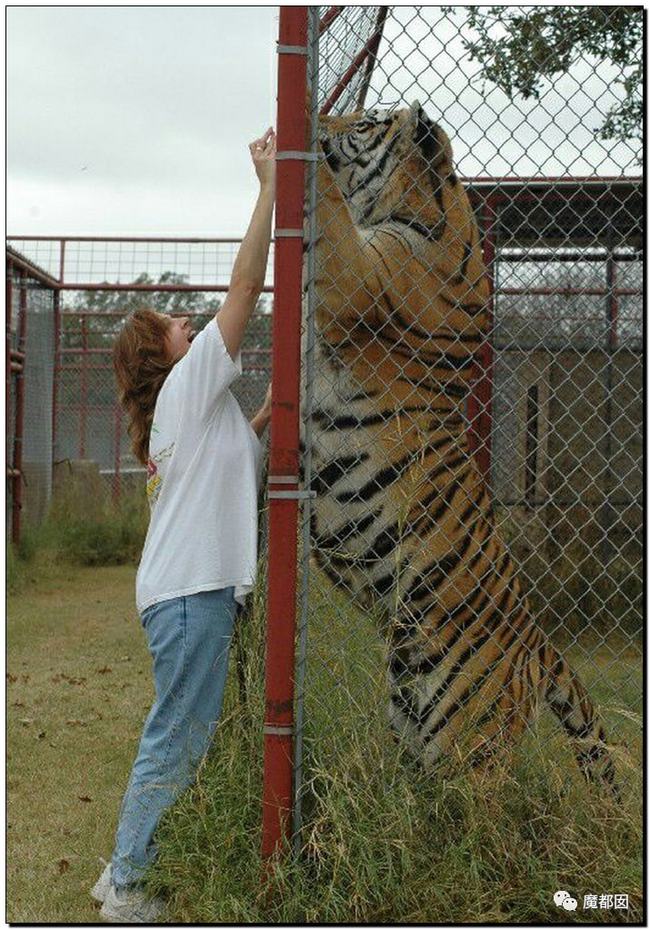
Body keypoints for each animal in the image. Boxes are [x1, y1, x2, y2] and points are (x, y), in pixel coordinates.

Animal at [302, 99, 616, 796]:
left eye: (362, 122)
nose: (325, 121)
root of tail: (538, 643)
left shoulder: (354, 276)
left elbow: (329, 204)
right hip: (411, 717)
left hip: (467, 744)